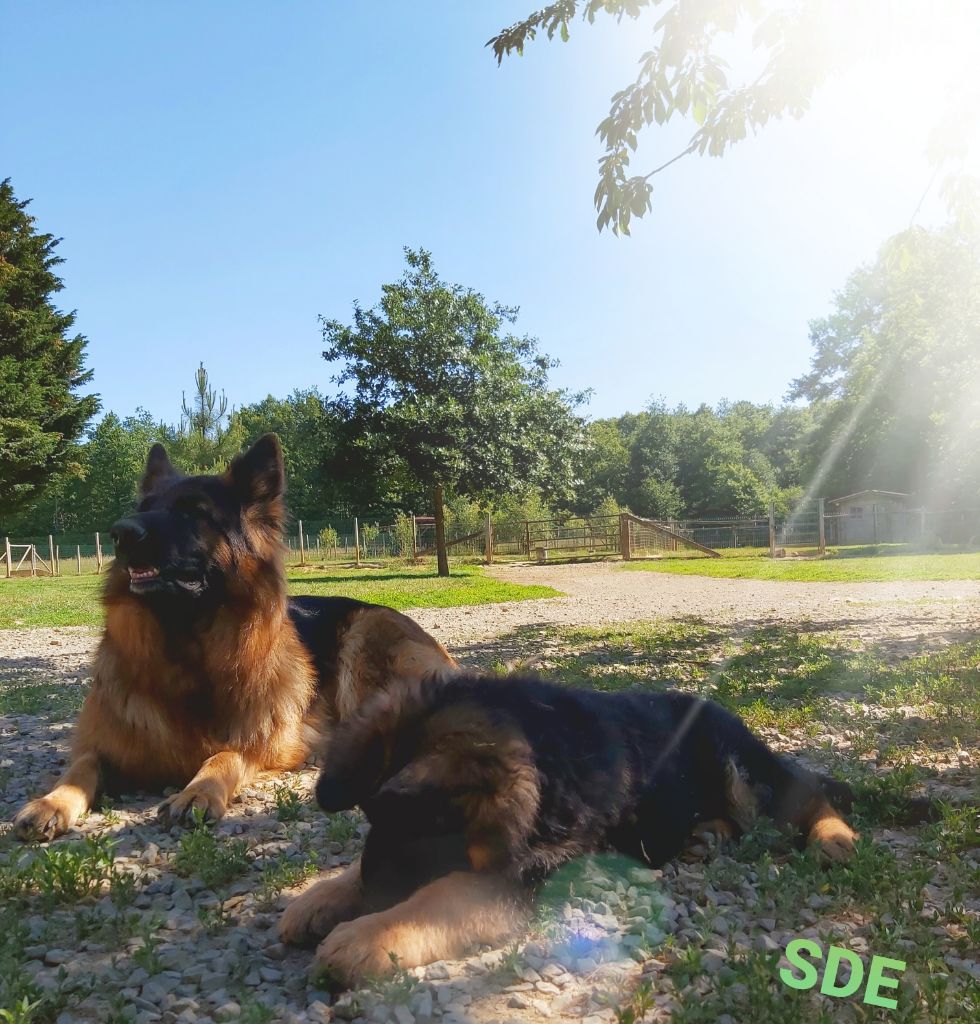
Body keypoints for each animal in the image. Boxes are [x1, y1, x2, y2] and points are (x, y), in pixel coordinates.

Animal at [12, 432, 454, 839]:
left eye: (194, 513)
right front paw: (50, 802)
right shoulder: (106, 742)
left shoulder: (268, 741)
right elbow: (81, 766)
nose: (119, 532)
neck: (186, 646)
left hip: (364, 640)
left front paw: (198, 791)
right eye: (144, 509)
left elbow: (224, 756)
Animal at [278, 671, 851, 983]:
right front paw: (321, 897)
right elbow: (356, 871)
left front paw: (367, 935)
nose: (373, 896)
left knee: (807, 792)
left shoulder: (526, 875)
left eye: (418, 830)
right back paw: (705, 835)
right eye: (371, 819)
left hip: (741, 769)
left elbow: (443, 894)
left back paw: (835, 839)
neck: (543, 756)